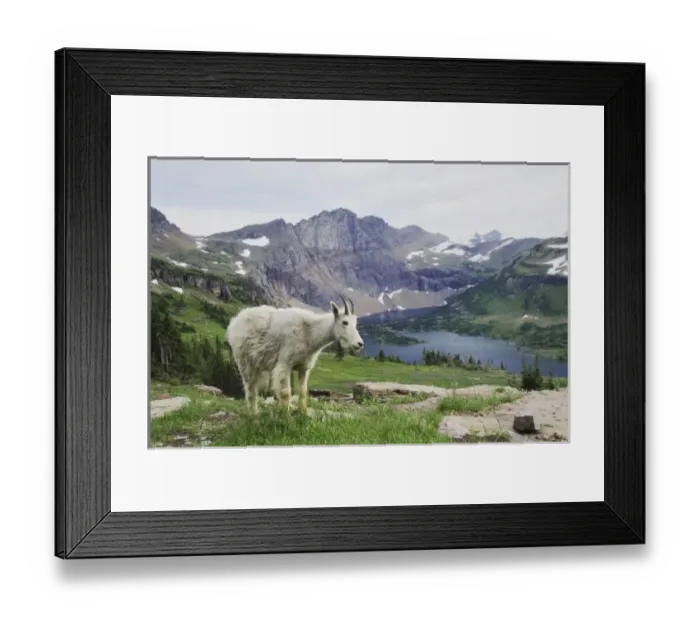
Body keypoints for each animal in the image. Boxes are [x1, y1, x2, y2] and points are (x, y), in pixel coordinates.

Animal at [226, 296, 364, 413]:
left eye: (355, 323)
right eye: (345, 322)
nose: (359, 344)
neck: (309, 333)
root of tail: (234, 322)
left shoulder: (304, 367)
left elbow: (303, 391)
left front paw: (302, 412)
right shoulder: (285, 364)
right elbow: (286, 392)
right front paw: (287, 417)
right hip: (244, 362)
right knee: (250, 389)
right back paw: (254, 414)